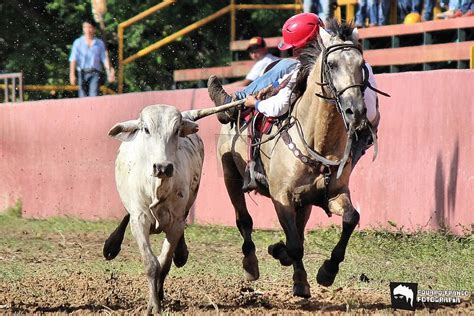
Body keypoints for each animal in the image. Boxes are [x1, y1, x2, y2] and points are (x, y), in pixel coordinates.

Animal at [104, 102, 243, 312]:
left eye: (176, 130)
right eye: (146, 129)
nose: (163, 167)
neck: (158, 188)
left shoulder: (176, 222)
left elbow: (163, 263)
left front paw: (158, 298)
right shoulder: (139, 220)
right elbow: (151, 264)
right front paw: (153, 305)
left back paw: (181, 253)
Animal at [216, 20, 382, 298]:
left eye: (361, 65)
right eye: (331, 64)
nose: (356, 111)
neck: (318, 141)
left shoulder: (333, 193)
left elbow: (350, 219)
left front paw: (326, 271)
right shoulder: (281, 196)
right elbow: (294, 244)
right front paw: (292, 266)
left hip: (303, 203)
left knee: (298, 230)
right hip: (230, 175)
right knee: (244, 220)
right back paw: (251, 264)